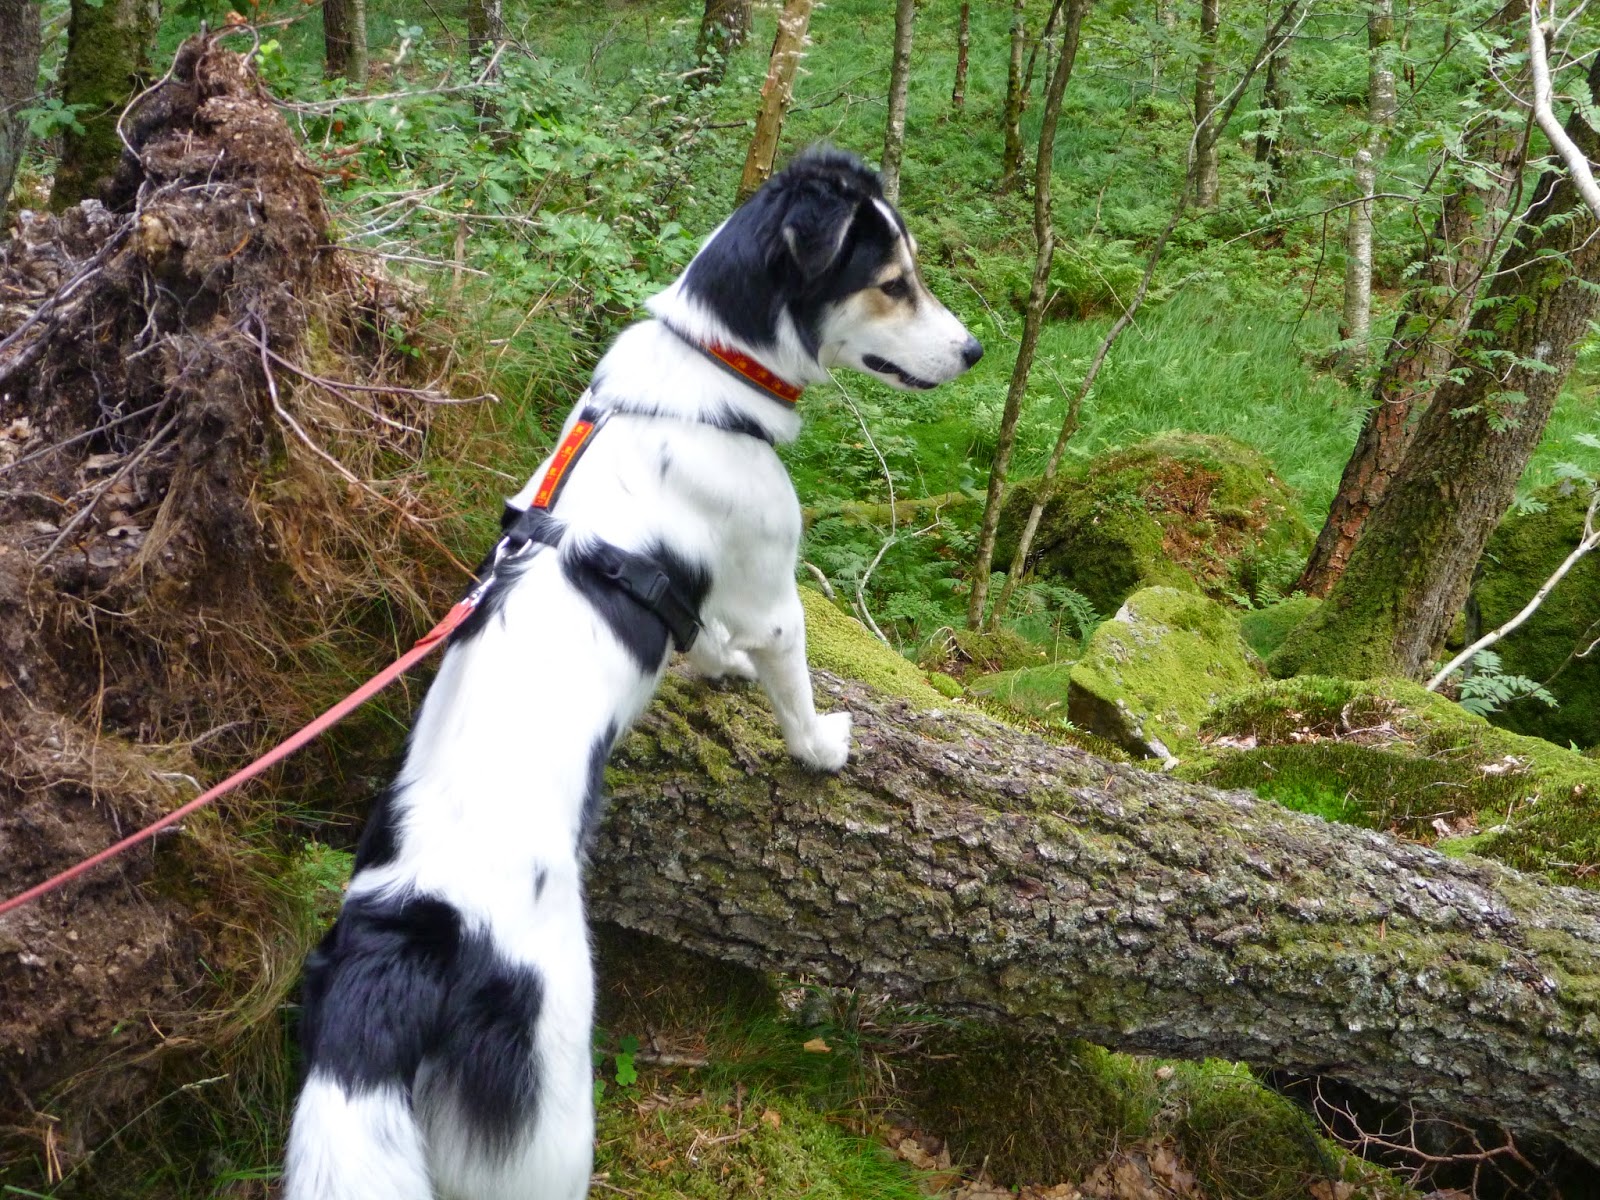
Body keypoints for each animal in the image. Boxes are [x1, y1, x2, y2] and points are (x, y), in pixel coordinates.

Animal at [283, 147, 981, 1200]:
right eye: (894, 282)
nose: (976, 352)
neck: (707, 375)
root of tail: (409, 941)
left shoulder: (707, 596)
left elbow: (703, 641)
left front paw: (714, 669)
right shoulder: (772, 594)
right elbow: (793, 686)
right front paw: (821, 748)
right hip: (549, 1119)